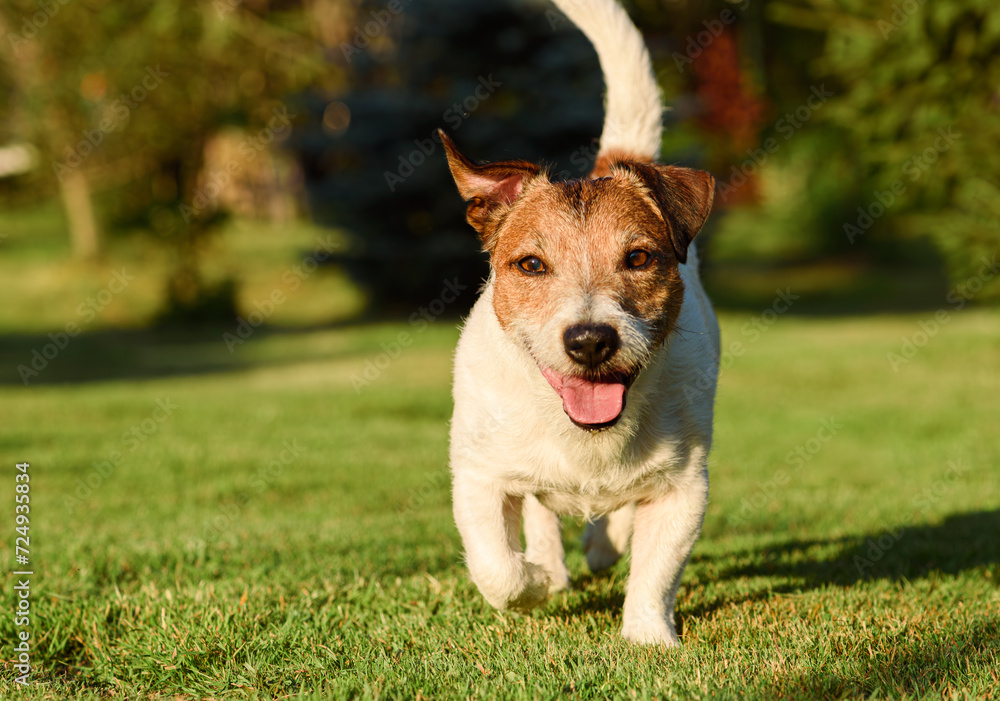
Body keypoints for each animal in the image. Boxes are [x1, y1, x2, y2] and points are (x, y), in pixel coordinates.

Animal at [442, 0, 716, 644]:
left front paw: (649, 638)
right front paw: (538, 580)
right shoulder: (477, 478)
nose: (590, 340)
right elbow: (498, 567)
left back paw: (603, 543)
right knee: (538, 516)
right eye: (531, 264)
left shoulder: (685, 489)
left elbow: (656, 571)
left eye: (638, 257)